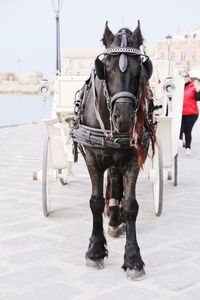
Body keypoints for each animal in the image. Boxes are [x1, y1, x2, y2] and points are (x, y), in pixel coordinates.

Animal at [71, 20, 155, 278]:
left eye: (140, 69)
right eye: (106, 67)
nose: (125, 118)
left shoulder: (133, 159)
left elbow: (131, 206)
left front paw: (133, 258)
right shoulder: (92, 159)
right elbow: (96, 202)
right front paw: (95, 251)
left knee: (117, 181)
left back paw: (117, 220)